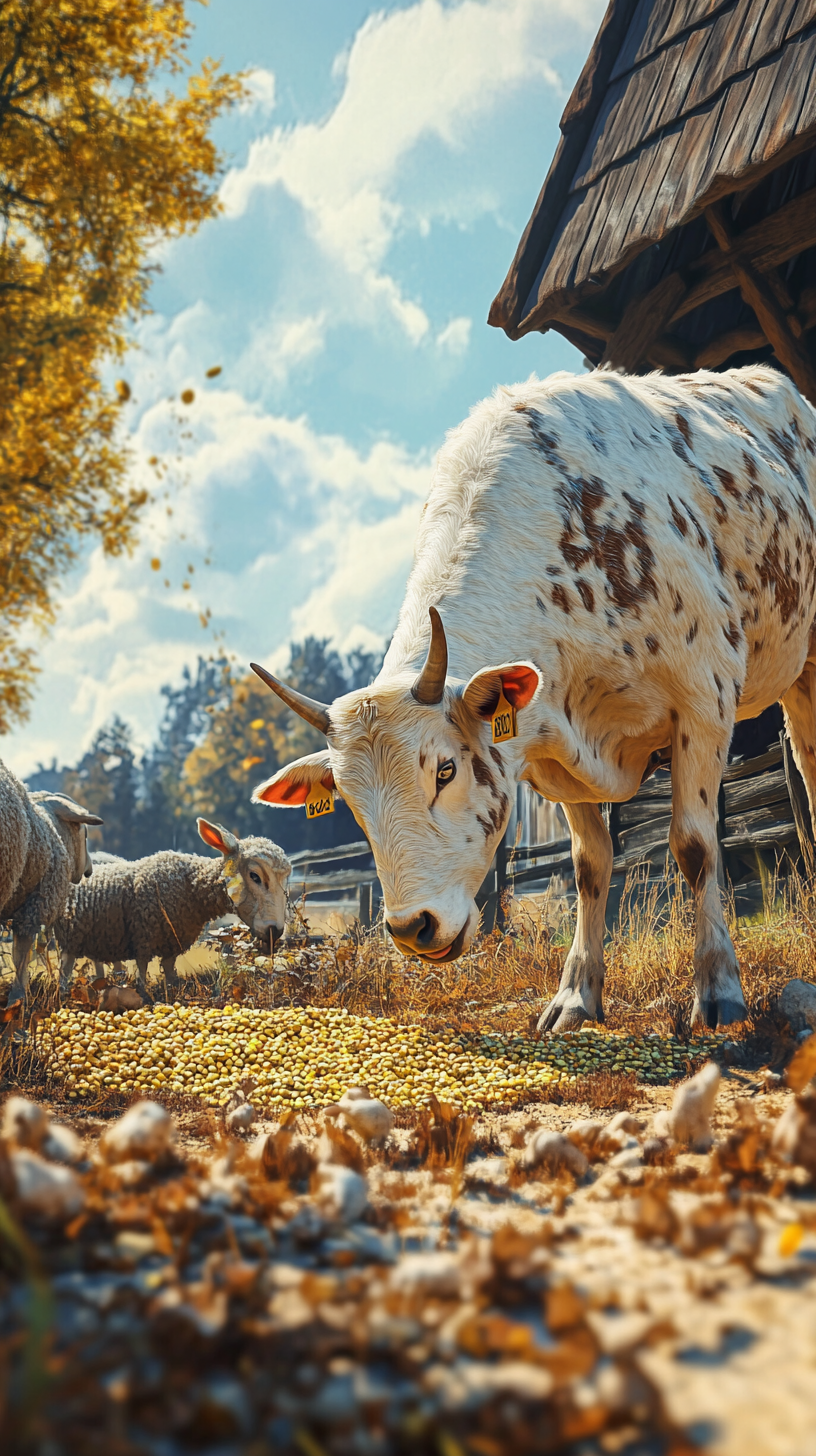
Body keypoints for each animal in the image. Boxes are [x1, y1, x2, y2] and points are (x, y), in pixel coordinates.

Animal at [55, 821, 289, 1001]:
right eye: (254, 876)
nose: (275, 931)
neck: (191, 885)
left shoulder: (171, 943)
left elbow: (170, 974)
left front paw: (173, 992)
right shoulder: (143, 938)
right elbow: (141, 973)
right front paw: (143, 997)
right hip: (70, 936)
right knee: (65, 969)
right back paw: (64, 994)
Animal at [247, 369, 816, 1042]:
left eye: (446, 770)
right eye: (351, 805)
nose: (412, 928)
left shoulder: (704, 696)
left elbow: (695, 846)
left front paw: (720, 990)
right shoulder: (555, 757)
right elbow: (589, 864)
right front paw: (575, 996)